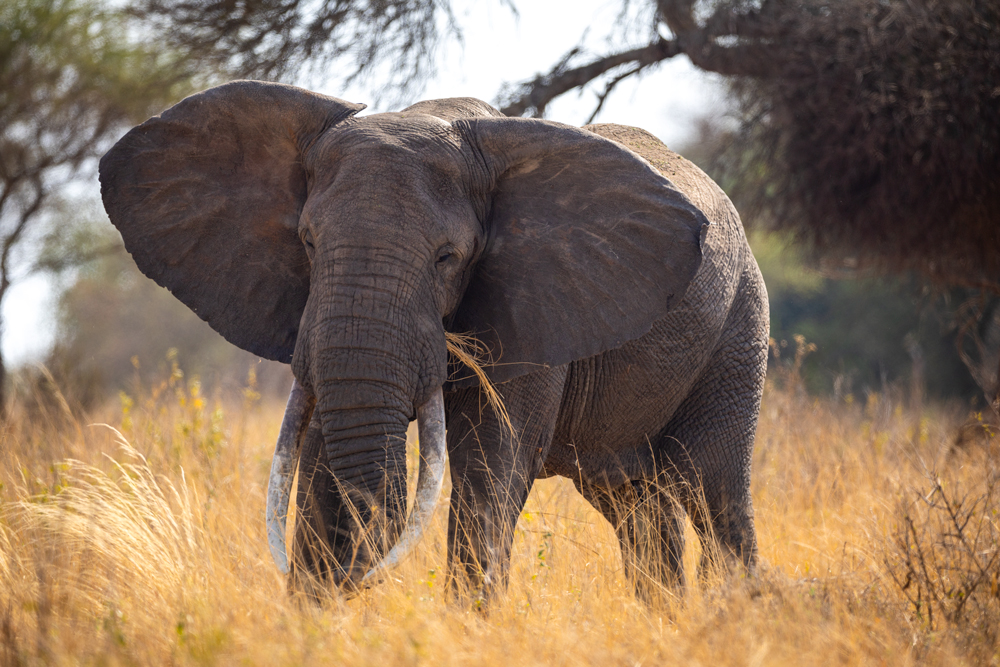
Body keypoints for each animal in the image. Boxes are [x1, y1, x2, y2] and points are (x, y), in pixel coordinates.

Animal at [99, 80, 769, 604]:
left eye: (447, 258)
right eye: (308, 243)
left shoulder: (530, 307)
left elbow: (491, 464)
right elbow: (321, 454)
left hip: (739, 326)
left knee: (713, 488)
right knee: (637, 503)